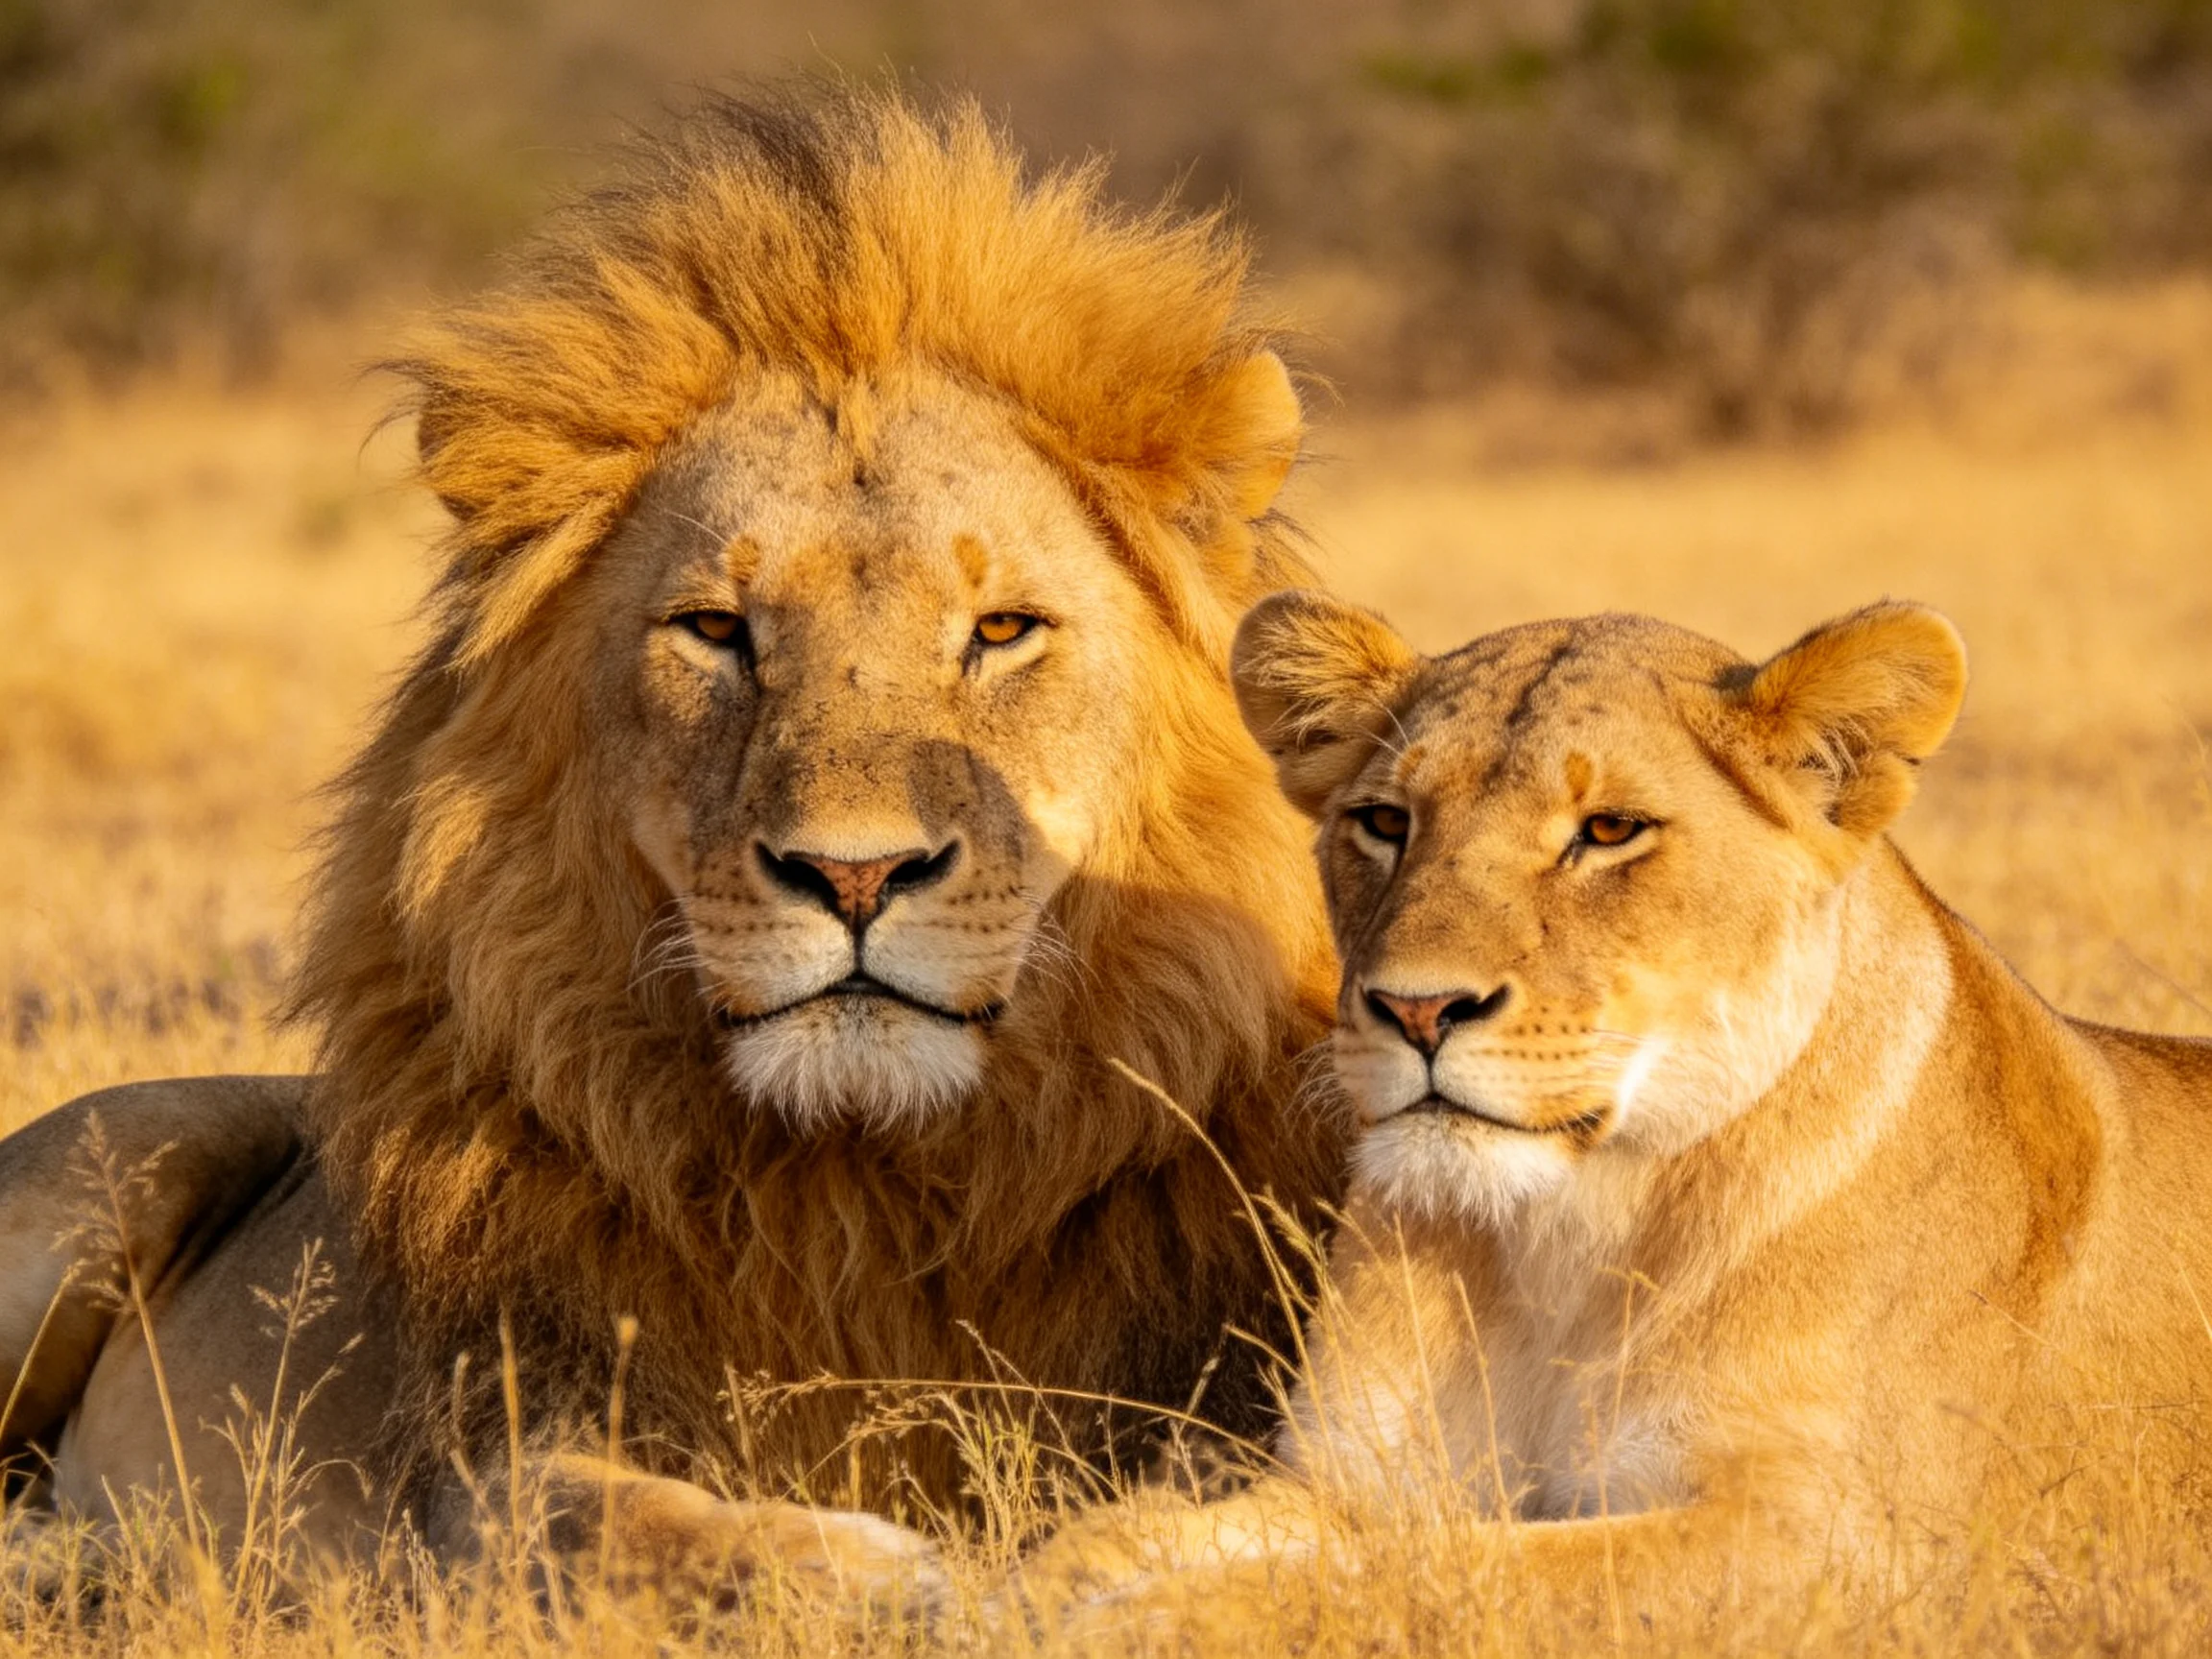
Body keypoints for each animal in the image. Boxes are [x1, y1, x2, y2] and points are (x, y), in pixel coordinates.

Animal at [0, 87, 1351, 1599]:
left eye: (1002, 630)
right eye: (716, 630)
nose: (856, 875)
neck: (864, 1191)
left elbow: (1261, 1502)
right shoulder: (478, 1457)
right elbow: (596, 1518)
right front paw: (866, 1570)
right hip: (103, 1165)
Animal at [1002, 592, 2212, 1631]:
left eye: (1611, 829)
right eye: (1384, 821)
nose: (1417, 1008)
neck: (1568, 1244)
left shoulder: (1841, 1543)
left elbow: (1442, 1577)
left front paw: (1146, 1623)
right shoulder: (1351, 1476)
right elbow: (1114, 1537)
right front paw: (1012, 1599)